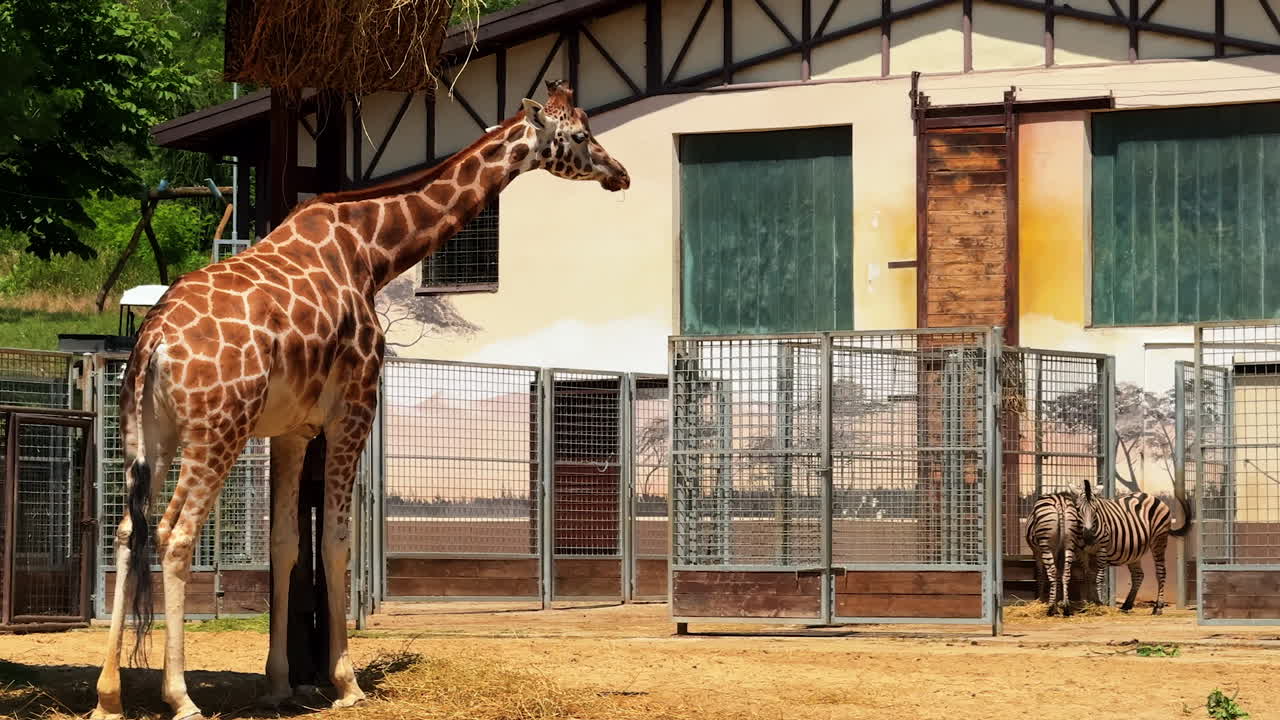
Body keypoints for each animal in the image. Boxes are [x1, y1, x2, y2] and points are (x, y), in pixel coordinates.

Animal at [91, 80, 630, 720]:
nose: (620, 174)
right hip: (218, 430)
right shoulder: (354, 409)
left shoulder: (291, 429)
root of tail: (154, 340)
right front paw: (346, 682)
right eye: (581, 135)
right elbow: (336, 542)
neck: (374, 252)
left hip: (148, 435)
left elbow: (286, 544)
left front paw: (280, 683)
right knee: (175, 535)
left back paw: (108, 694)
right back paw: (180, 696)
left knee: (128, 532)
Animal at [1077, 479, 1191, 614]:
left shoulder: (1102, 550)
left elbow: (1098, 577)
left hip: (1159, 539)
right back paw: (1127, 604)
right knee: (1138, 575)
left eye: (1096, 511)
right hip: (1134, 550)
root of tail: (1151, 496)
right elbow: (1087, 577)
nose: (1088, 536)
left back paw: (1158, 607)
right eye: (1078, 510)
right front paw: (1089, 604)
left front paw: (1099, 604)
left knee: (1161, 572)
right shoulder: (1083, 553)